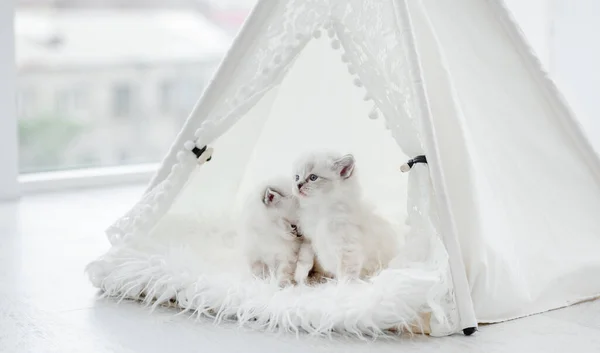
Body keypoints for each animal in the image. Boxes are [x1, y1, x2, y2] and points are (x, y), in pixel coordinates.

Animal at [292, 151, 400, 280]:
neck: (320, 210)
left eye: (313, 177)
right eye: (296, 177)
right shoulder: (309, 238)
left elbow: (346, 274)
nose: (298, 185)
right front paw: (299, 277)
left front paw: (344, 286)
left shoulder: (347, 248)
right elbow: (304, 257)